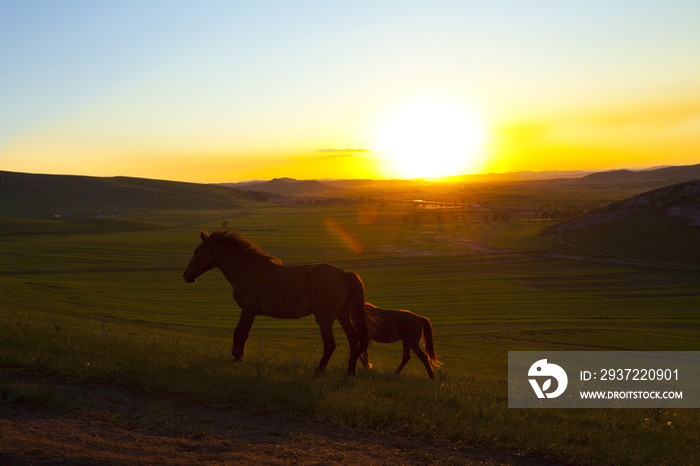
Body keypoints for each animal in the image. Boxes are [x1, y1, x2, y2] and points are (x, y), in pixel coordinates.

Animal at [182, 231, 372, 376]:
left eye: (197, 251)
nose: (186, 276)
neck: (245, 269)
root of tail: (343, 274)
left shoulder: (246, 310)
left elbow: (237, 333)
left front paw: (235, 357)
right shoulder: (252, 312)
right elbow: (245, 335)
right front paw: (240, 357)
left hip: (325, 319)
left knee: (330, 345)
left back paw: (318, 371)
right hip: (342, 314)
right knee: (353, 338)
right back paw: (350, 372)